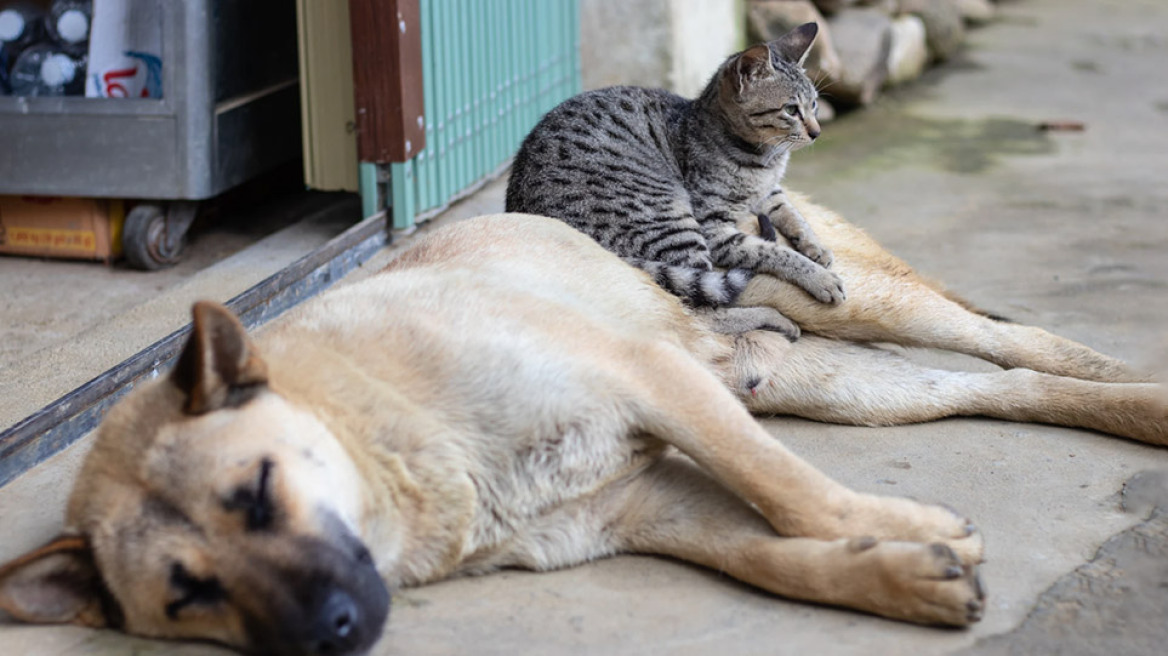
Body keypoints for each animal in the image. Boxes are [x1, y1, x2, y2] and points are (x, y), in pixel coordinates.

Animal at [2, 201, 1168, 648]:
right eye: (186, 594)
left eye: (255, 491)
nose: (332, 631)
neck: (392, 436)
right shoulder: (646, 505)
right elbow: (771, 555)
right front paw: (899, 569)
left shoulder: (652, 380)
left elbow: (789, 490)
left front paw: (897, 522)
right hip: (830, 381)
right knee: (1000, 387)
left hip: (859, 306)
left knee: (1017, 341)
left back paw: (1140, 390)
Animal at [506, 22, 845, 333]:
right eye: (791, 110)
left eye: (814, 104)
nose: (817, 132)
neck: (765, 160)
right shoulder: (715, 228)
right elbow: (774, 251)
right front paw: (819, 277)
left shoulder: (770, 192)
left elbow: (793, 214)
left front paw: (816, 247)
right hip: (671, 218)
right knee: (701, 314)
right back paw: (775, 319)